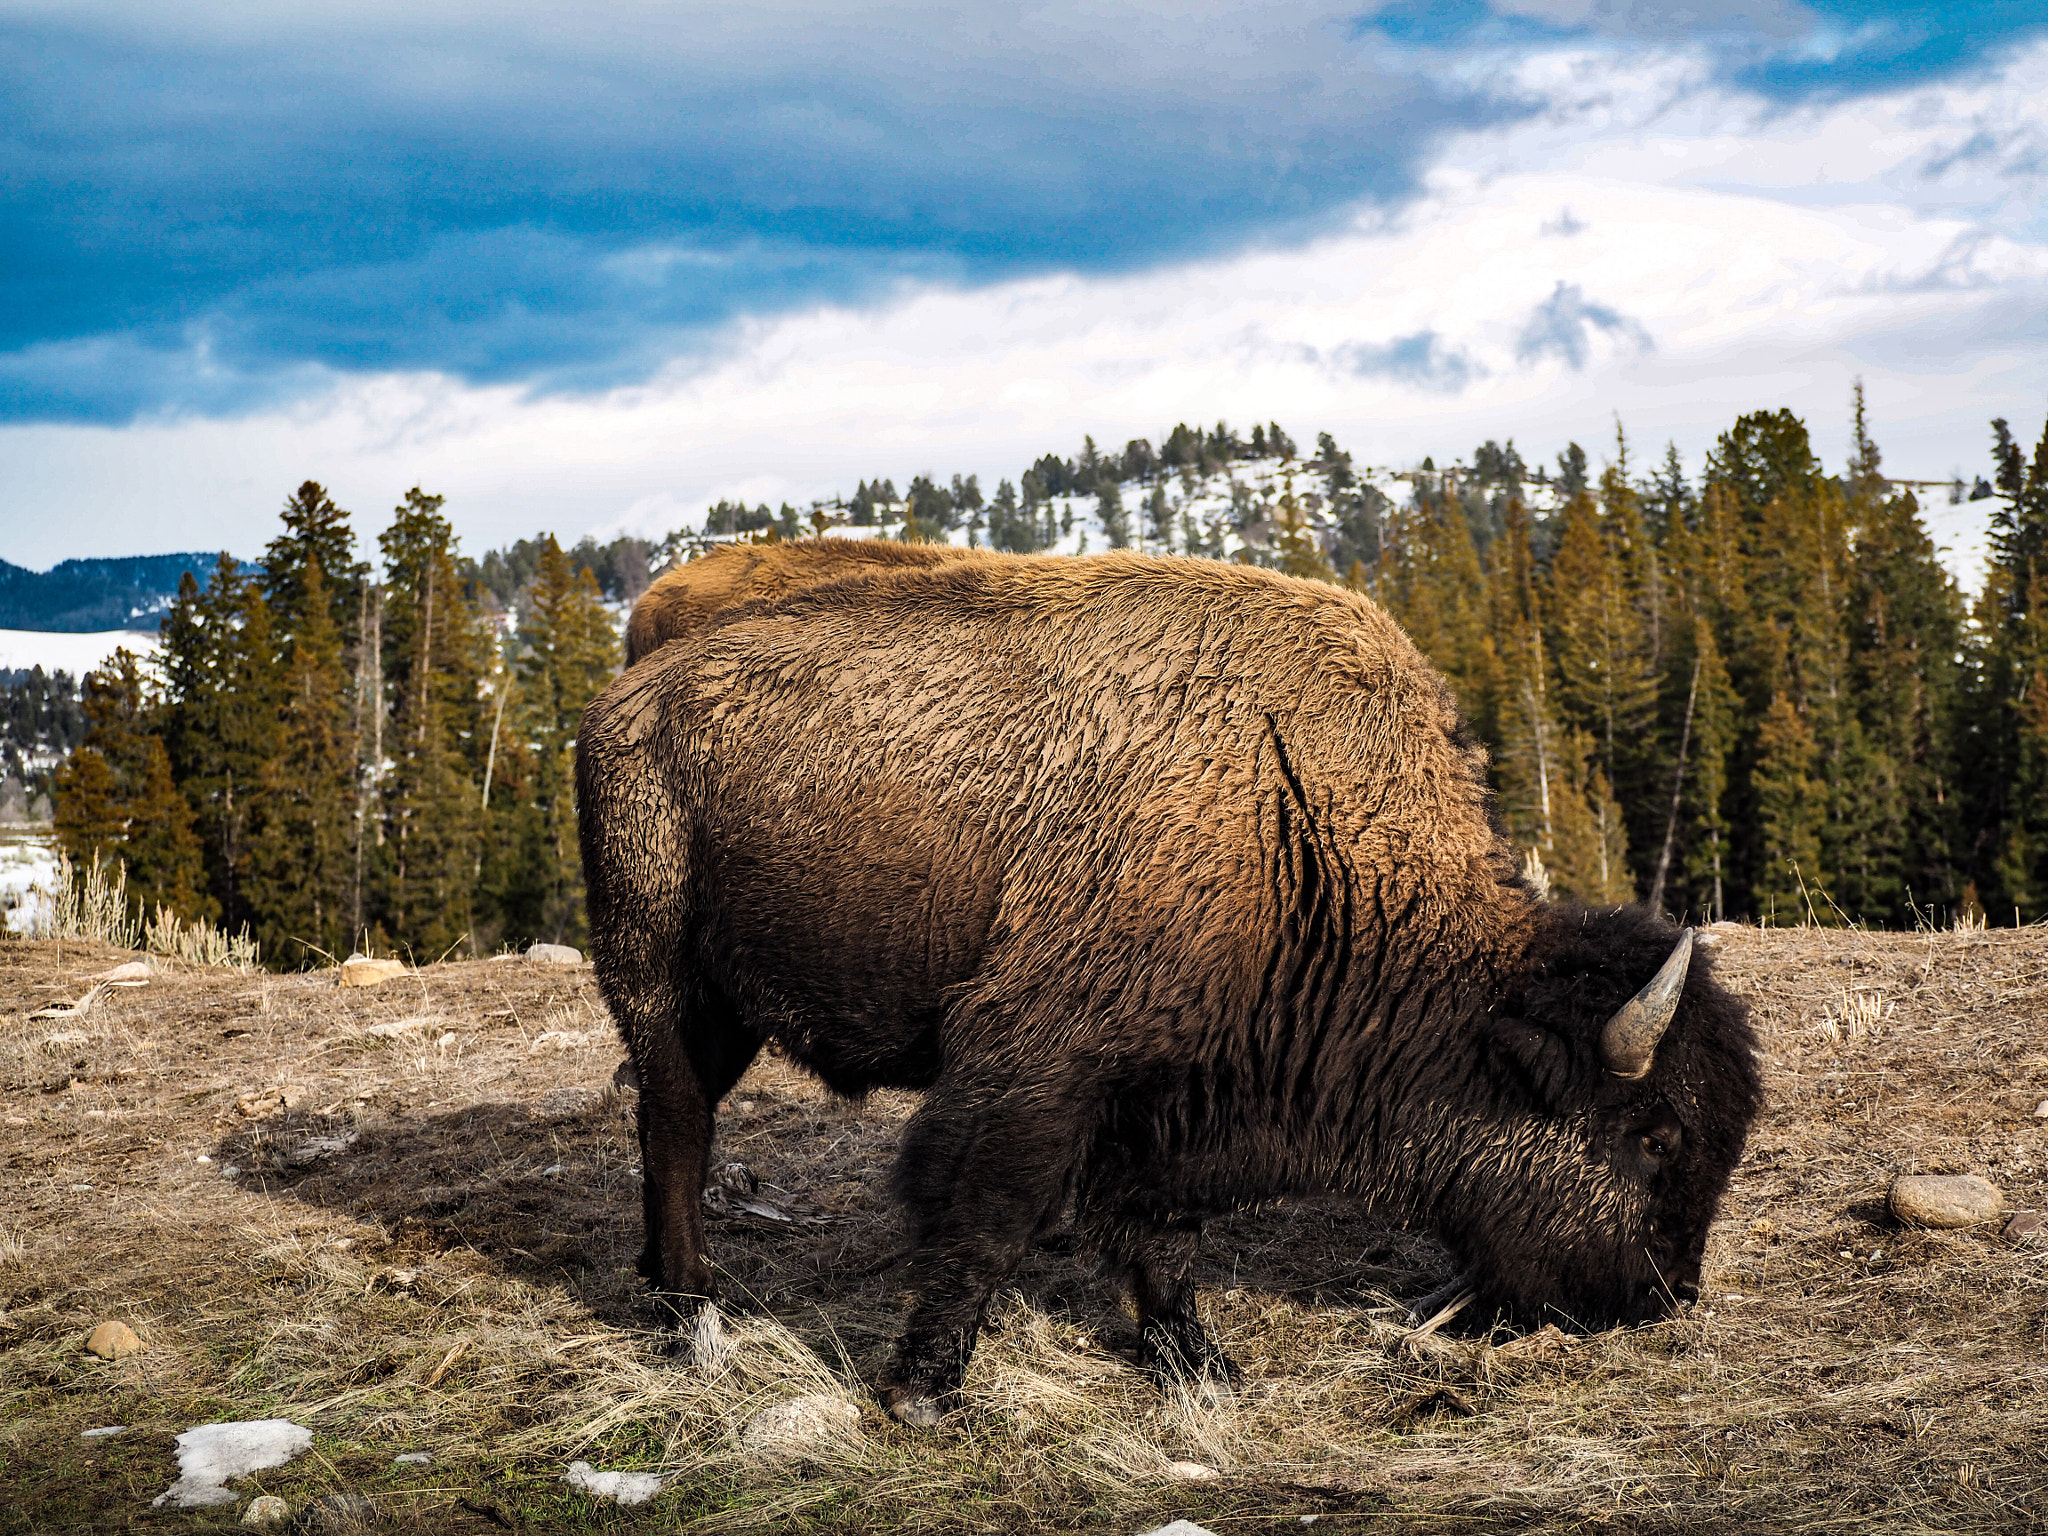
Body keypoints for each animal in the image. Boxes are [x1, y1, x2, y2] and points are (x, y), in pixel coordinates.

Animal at [579, 553, 1761, 1426]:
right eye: (1652, 1134)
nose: (1660, 1296)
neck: (1297, 824)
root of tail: (624, 700)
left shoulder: (1170, 1094)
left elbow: (1161, 1235)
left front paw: (1199, 1365)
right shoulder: (1035, 1067)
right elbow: (985, 1215)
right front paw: (922, 1394)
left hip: (721, 1005)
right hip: (655, 972)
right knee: (675, 1122)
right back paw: (692, 1315)